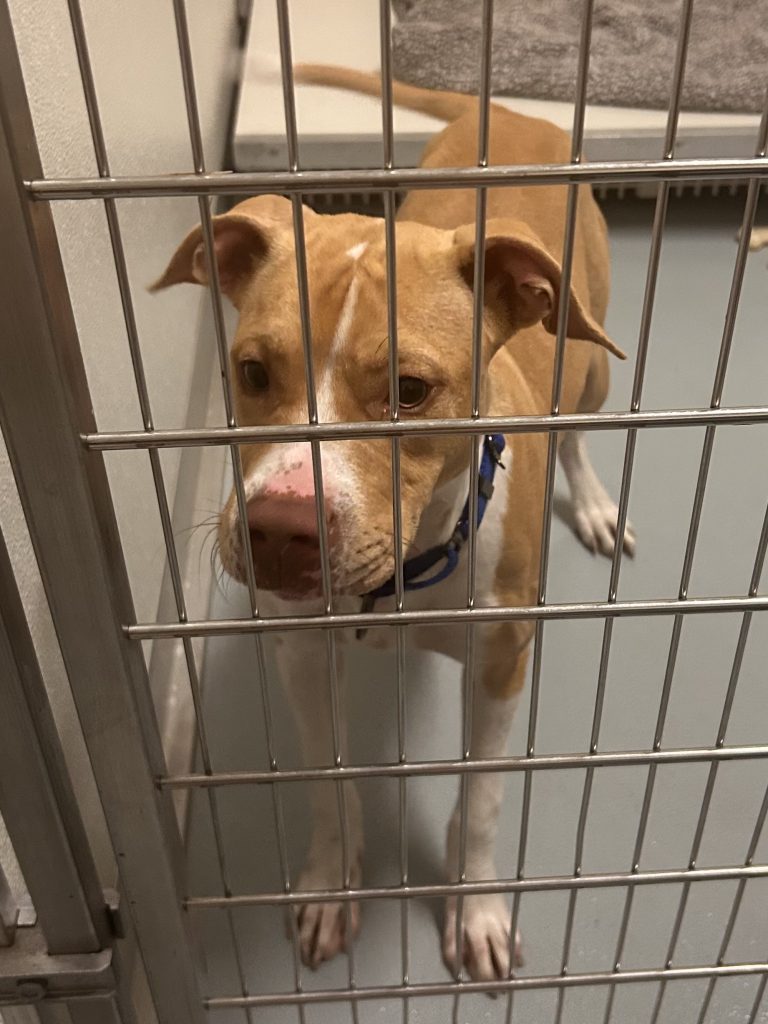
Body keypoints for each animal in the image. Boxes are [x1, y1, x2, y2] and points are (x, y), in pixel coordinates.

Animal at [153, 65, 634, 983]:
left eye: (410, 392)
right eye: (251, 372)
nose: (279, 530)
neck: (400, 581)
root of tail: (507, 108)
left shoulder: (501, 662)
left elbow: (480, 801)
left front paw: (476, 910)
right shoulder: (303, 654)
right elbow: (327, 782)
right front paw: (332, 884)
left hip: (590, 360)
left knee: (577, 432)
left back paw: (591, 500)